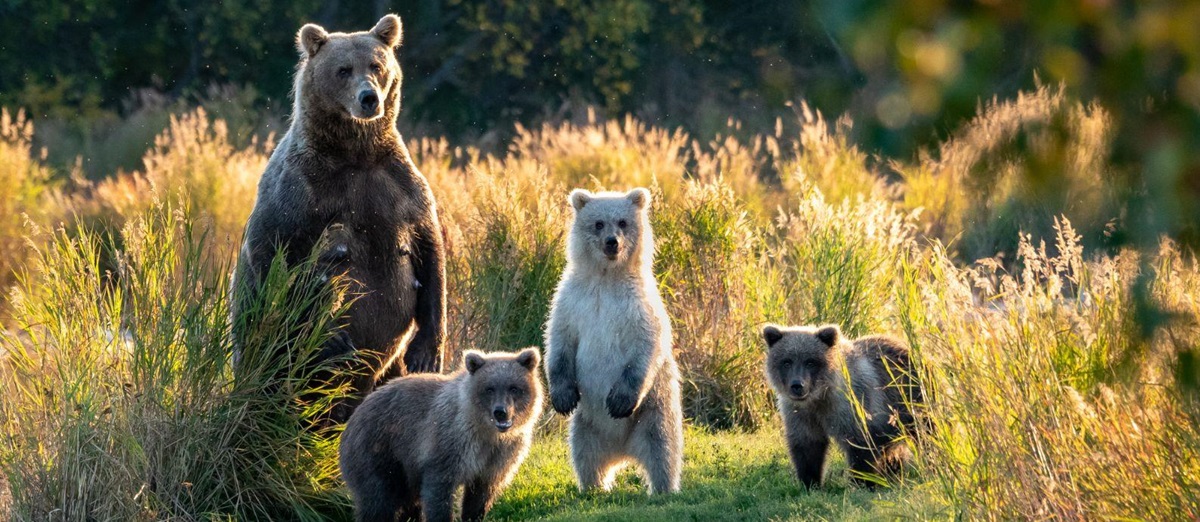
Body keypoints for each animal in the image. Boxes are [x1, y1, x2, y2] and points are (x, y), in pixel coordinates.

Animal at [232, 14, 446, 423]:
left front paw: (426, 352)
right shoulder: (301, 192)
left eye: (376, 66)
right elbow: (277, 254)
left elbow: (430, 252)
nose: (369, 98)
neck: (355, 153)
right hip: (263, 349)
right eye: (343, 69)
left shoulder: (399, 187)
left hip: (385, 372)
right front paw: (332, 336)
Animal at [339, 348, 544, 522]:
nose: (501, 412)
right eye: (489, 388)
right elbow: (439, 489)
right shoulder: (451, 443)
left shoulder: (499, 456)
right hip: (378, 451)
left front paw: (474, 514)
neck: (486, 431)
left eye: (514, 388)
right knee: (378, 500)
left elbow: (481, 494)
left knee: (407, 501)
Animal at [544, 187, 683, 494]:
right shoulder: (572, 301)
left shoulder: (639, 306)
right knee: (584, 454)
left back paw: (662, 488)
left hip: (654, 410)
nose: (612, 242)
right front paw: (562, 397)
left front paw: (618, 401)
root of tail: (623, 452)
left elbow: (646, 346)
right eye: (598, 223)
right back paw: (595, 486)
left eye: (622, 222)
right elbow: (559, 342)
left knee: (663, 448)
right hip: (586, 425)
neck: (607, 278)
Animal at [761, 323, 923, 488]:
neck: (819, 397)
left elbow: (860, 444)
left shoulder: (852, 405)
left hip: (910, 399)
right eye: (786, 361)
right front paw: (810, 482)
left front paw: (862, 482)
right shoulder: (800, 412)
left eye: (810, 362)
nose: (797, 385)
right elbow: (807, 445)